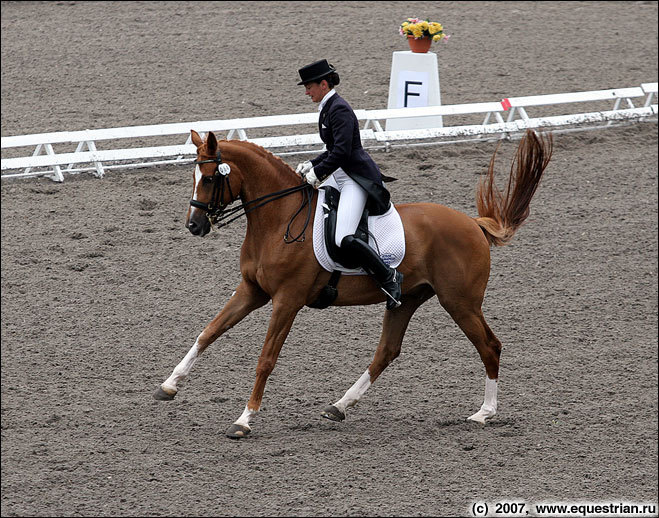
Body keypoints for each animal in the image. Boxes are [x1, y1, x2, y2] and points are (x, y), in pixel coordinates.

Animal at [153, 129, 552, 438]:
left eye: (209, 178)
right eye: (194, 177)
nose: (194, 226)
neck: (277, 219)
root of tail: (473, 223)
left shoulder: (287, 299)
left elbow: (266, 359)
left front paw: (244, 420)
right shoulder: (253, 290)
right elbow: (208, 332)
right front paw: (169, 385)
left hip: (460, 302)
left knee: (490, 346)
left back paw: (484, 413)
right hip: (406, 300)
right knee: (387, 351)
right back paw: (339, 406)